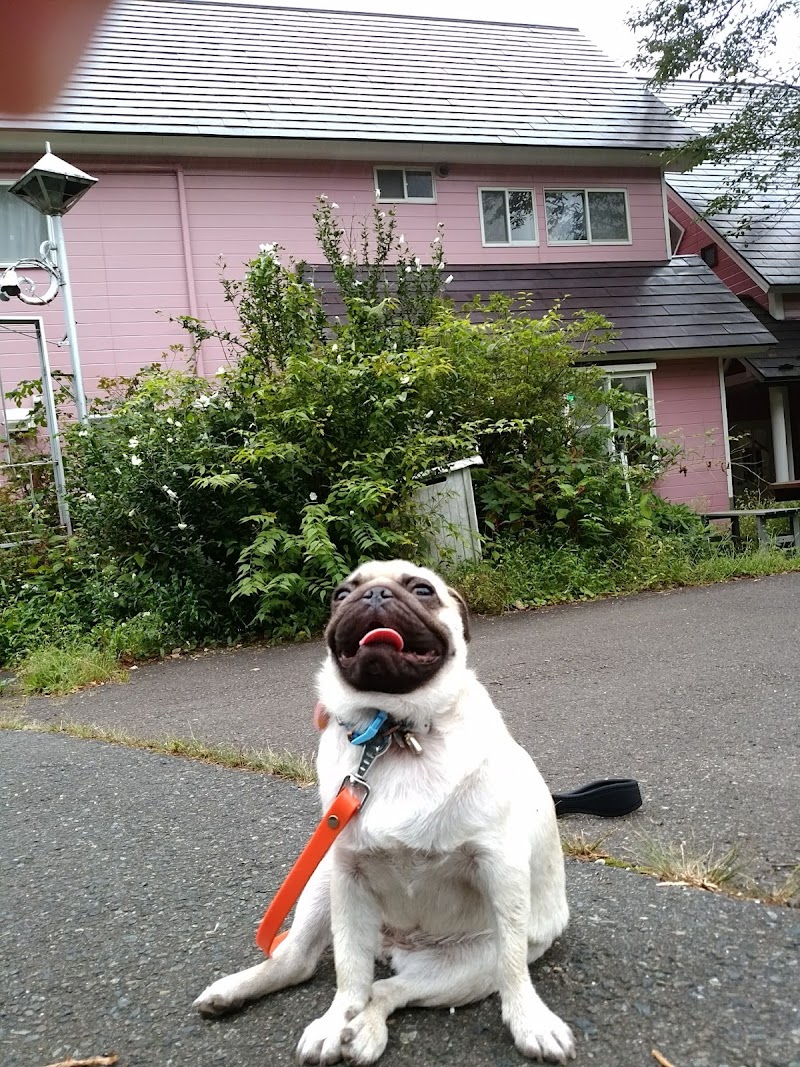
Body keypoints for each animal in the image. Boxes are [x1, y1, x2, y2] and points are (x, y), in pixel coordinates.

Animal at [193, 563, 576, 1062]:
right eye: (341, 594)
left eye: (422, 590)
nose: (374, 595)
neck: (392, 733)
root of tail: (394, 946)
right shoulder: (349, 877)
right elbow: (349, 974)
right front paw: (335, 1022)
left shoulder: (502, 871)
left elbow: (513, 967)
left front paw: (531, 1020)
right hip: (321, 882)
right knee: (302, 961)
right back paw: (242, 993)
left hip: (469, 969)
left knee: (390, 991)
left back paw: (365, 1032)